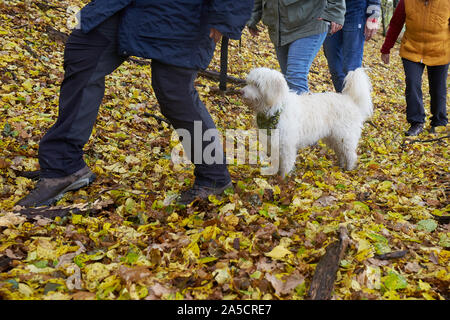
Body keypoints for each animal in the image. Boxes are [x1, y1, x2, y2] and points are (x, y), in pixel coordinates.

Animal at [243, 68, 372, 178]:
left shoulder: (286, 145)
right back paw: (340, 165)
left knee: (351, 155)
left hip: (345, 137)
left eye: (256, 84)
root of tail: (351, 100)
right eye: (248, 82)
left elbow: (286, 164)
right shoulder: (272, 144)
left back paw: (349, 169)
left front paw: (282, 179)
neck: (277, 109)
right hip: (334, 138)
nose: (240, 91)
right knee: (341, 153)